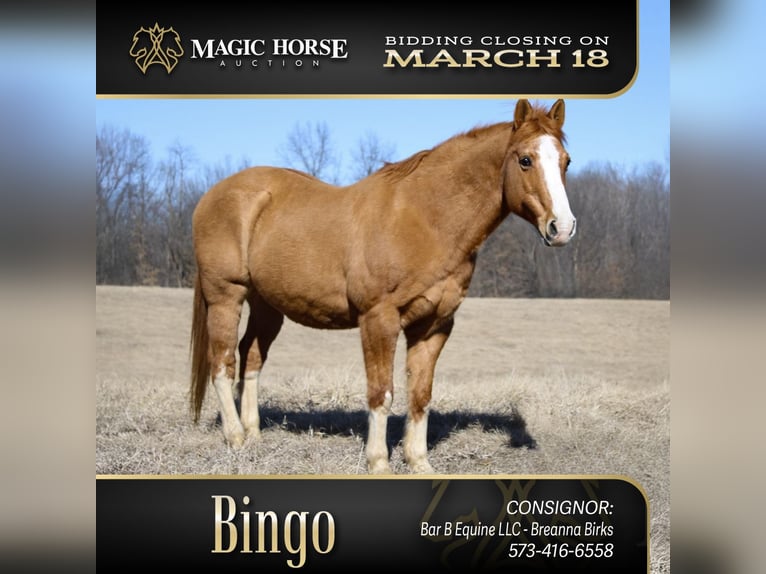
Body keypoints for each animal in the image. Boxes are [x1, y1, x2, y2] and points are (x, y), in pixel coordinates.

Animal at [189, 98, 576, 474]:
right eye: (525, 160)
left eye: (566, 162)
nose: (562, 228)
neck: (426, 220)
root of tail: (212, 196)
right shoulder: (379, 319)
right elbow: (382, 393)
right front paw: (379, 462)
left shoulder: (434, 325)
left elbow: (420, 394)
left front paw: (419, 462)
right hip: (226, 296)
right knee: (222, 363)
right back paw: (236, 438)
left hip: (267, 305)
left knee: (251, 357)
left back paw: (254, 433)